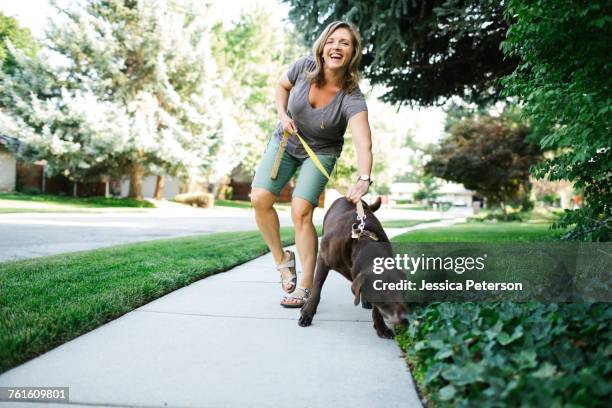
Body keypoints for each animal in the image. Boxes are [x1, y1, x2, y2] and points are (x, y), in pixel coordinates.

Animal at [298, 198, 408, 338]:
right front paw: (307, 312)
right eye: (384, 293)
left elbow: (376, 309)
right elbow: (316, 289)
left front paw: (381, 327)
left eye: (403, 291)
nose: (406, 318)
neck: (363, 241)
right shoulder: (323, 259)